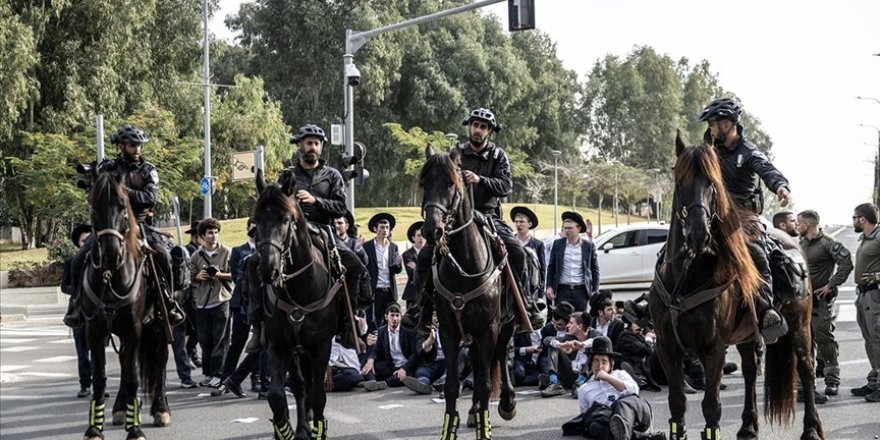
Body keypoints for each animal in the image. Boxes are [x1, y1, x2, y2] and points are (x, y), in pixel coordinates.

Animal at [77, 171, 172, 440]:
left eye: (122, 207)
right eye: (94, 207)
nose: (110, 253)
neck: (111, 276)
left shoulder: (134, 329)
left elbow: (133, 378)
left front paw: (136, 429)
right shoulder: (94, 331)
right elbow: (100, 378)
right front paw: (94, 428)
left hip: (161, 325)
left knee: (160, 360)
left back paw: (161, 408)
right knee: (123, 363)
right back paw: (119, 408)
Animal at [253, 172, 342, 440]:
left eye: (285, 219)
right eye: (256, 220)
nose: (268, 270)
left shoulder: (321, 346)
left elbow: (319, 394)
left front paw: (318, 429)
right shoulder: (278, 346)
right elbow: (277, 396)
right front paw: (285, 430)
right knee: (301, 385)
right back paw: (303, 426)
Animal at [418, 147, 516, 440]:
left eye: (451, 184)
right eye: (425, 183)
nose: (432, 230)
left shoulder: (488, 328)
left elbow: (484, 383)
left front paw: (485, 428)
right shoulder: (449, 330)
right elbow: (451, 385)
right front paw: (449, 429)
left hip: (505, 323)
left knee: (501, 354)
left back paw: (507, 402)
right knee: (476, 360)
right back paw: (474, 411)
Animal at [648, 133, 824, 440]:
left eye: (713, 184)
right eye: (680, 181)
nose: (698, 234)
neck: (685, 279)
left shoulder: (713, 348)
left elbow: (711, 406)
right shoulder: (667, 347)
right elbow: (677, 403)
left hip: (800, 324)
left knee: (806, 369)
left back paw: (811, 428)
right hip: (746, 336)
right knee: (751, 372)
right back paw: (748, 426)